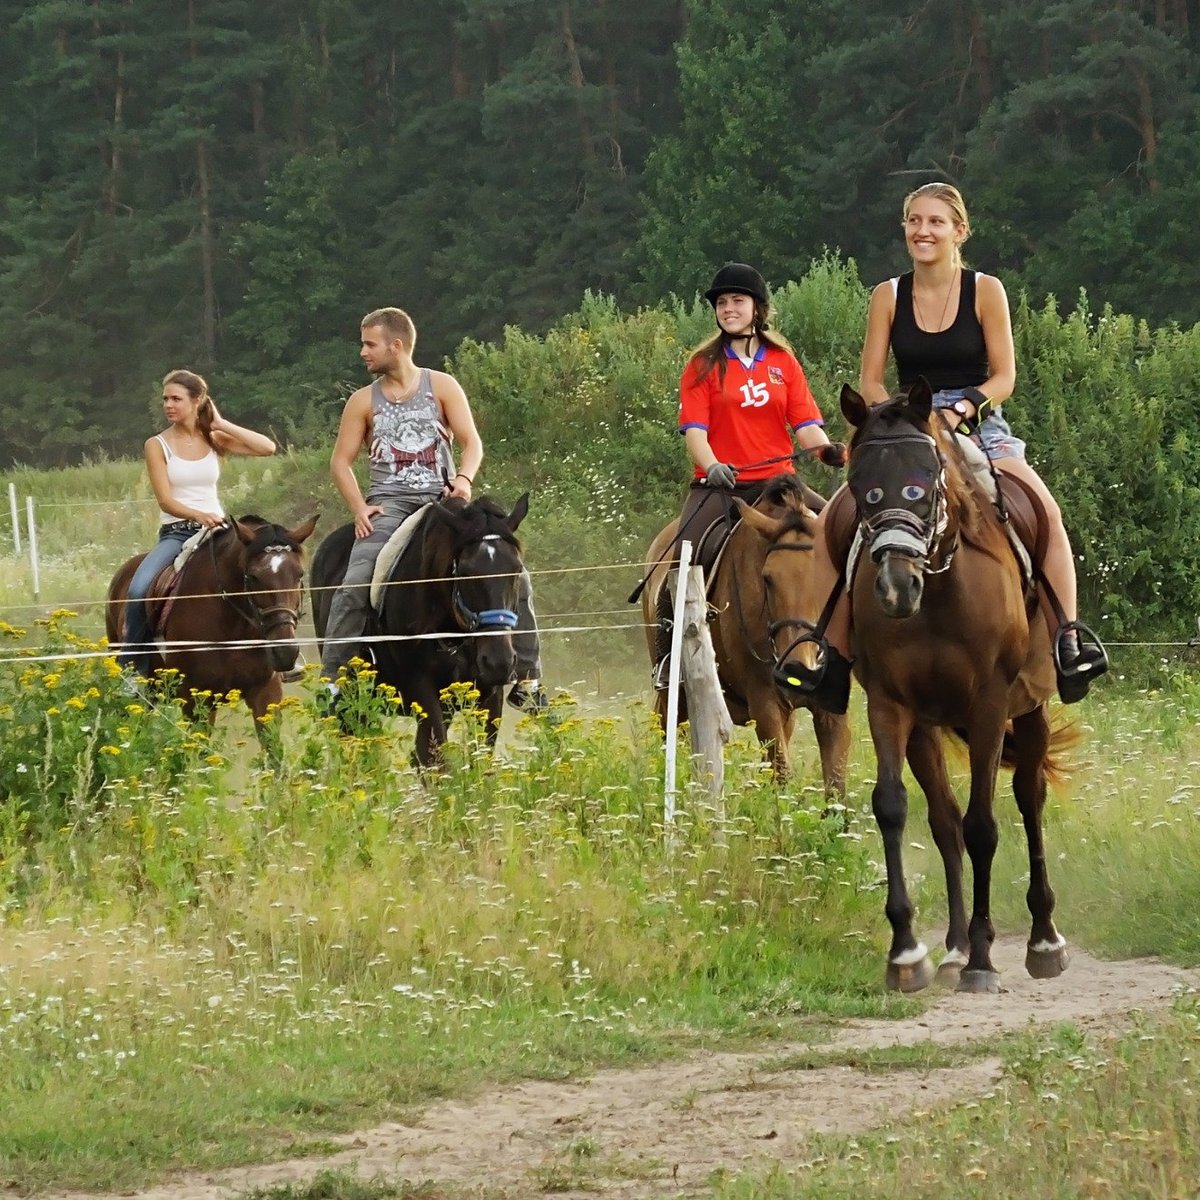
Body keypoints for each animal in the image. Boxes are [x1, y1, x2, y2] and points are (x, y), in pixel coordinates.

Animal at [643, 475, 849, 796]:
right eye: (767, 578)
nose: (798, 667)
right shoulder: (764, 703)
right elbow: (781, 775)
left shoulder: (831, 708)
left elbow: (836, 788)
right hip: (673, 695)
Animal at [840, 381, 1075, 993]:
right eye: (858, 484)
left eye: (929, 474)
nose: (896, 587)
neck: (940, 595)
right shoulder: (889, 705)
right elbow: (892, 807)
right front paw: (906, 952)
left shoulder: (990, 704)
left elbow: (984, 826)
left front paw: (983, 960)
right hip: (926, 728)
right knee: (943, 820)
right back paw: (951, 947)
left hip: (1029, 709)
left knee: (1028, 800)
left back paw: (1043, 940)